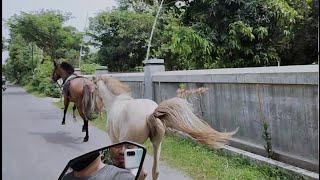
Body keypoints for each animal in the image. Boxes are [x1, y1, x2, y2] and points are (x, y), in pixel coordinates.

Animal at [93, 76, 238, 180]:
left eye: (93, 90)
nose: (95, 111)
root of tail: (150, 113)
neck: (115, 102)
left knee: (142, 173)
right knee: (154, 171)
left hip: (134, 145)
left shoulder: (115, 140)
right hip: (157, 143)